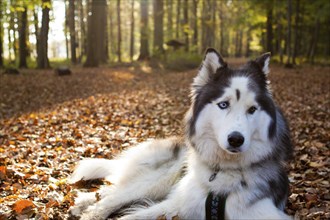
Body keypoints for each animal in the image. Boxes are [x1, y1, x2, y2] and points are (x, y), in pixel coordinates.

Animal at [69, 48, 292, 220]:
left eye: (252, 109)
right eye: (223, 104)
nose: (236, 139)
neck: (223, 174)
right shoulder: (178, 203)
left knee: (113, 189)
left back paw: (82, 202)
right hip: (162, 178)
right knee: (117, 195)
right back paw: (91, 210)